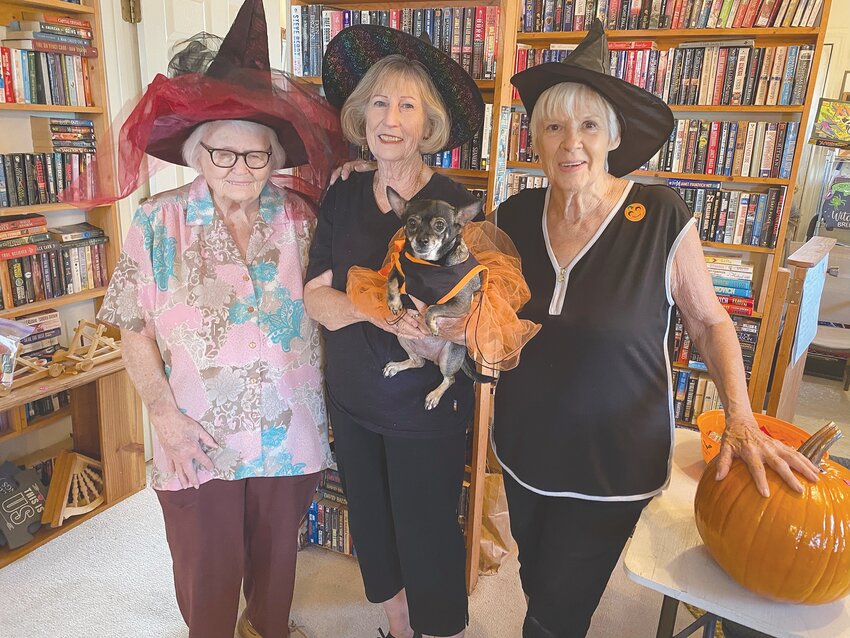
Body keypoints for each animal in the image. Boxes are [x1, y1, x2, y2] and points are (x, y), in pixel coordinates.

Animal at [380, 188, 494, 412]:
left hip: (448, 356)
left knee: (450, 379)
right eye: (412, 223)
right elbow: (391, 281)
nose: (422, 240)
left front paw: (430, 324)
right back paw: (396, 366)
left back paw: (434, 395)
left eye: (440, 225)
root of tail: (432, 358)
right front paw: (395, 303)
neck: (429, 264)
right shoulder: (398, 269)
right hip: (403, 337)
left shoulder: (461, 305)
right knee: (418, 362)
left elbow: (433, 307)